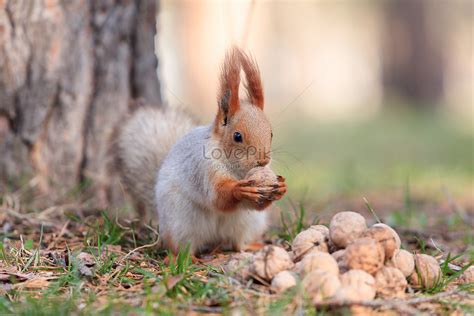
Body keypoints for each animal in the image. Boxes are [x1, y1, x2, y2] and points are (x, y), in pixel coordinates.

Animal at [113, 48, 286, 256]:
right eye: (237, 136)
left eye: (271, 133)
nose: (263, 161)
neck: (236, 169)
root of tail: (214, 240)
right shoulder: (203, 169)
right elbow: (218, 197)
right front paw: (239, 189)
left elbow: (253, 204)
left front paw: (281, 187)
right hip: (181, 223)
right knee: (180, 248)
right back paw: (187, 258)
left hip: (247, 222)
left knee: (237, 243)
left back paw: (250, 246)